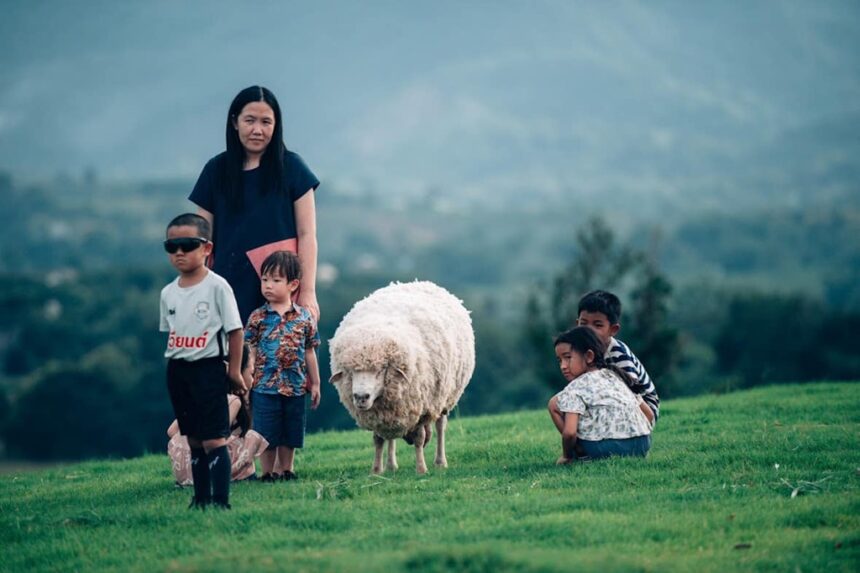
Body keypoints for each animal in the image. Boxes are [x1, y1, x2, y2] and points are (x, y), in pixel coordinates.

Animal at [330, 282, 478, 474]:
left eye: (381, 370)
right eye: (350, 372)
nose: (361, 397)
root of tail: (421, 282)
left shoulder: (421, 406)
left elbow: (419, 437)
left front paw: (421, 469)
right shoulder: (381, 413)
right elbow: (378, 440)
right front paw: (376, 471)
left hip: (442, 397)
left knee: (440, 426)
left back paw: (440, 461)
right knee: (391, 435)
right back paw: (391, 465)